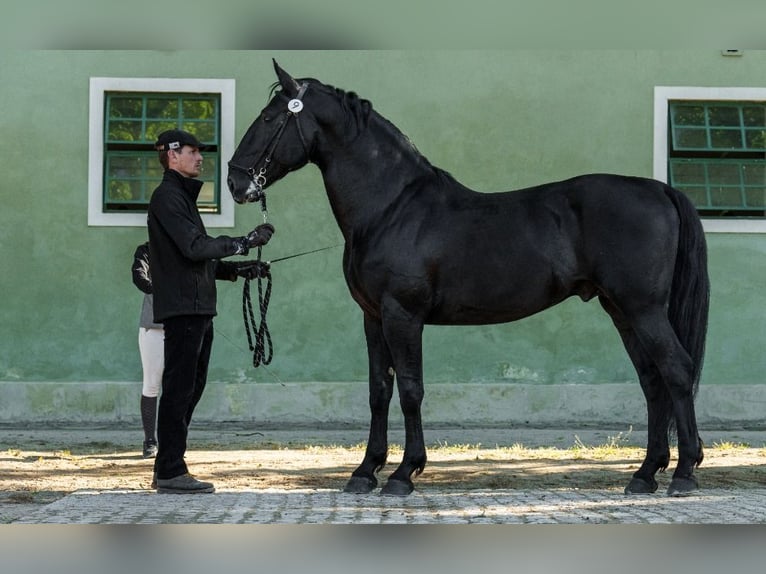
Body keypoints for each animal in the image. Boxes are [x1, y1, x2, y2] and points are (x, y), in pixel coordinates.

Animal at [228, 60, 712, 498]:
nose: (235, 181)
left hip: (642, 309)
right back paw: (644, 475)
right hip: (622, 311)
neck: (393, 208)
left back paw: (684, 473)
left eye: (268, 118)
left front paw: (404, 474)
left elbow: (410, 390)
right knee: (652, 381)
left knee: (676, 370)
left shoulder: (403, 315)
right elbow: (378, 391)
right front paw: (365, 472)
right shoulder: (372, 317)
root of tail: (660, 189)